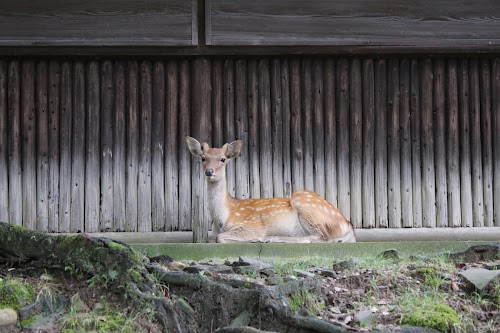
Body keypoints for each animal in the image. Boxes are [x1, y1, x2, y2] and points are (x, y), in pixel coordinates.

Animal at [187, 136, 356, 243]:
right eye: (203, 158)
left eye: (223, 159)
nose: (209, 172)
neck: (223, 218)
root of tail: (347, 224)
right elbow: (212, 237)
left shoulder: (252, 225)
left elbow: (219, 238)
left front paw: (255, 239)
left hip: (304, 202)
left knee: (322, 237)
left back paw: (271, 239)